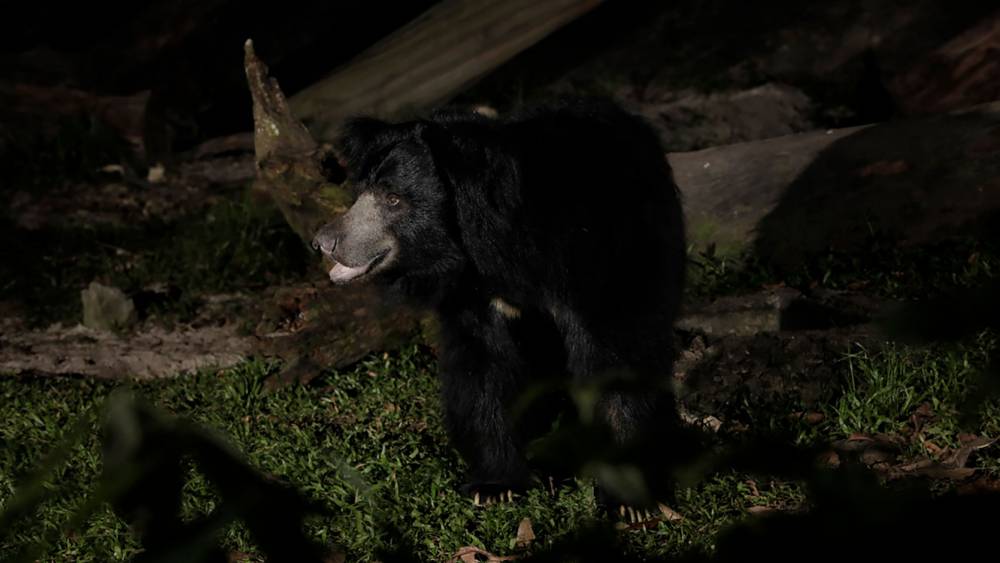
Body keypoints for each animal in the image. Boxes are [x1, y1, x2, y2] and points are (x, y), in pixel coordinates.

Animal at [312, 98, 687, 514]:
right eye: (360, 191)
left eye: (393, 199)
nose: (324, 242)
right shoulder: (474, 293)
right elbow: (483, 367)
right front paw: (494, 485)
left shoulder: (592, 258)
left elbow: (614, 355)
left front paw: (628, 499)